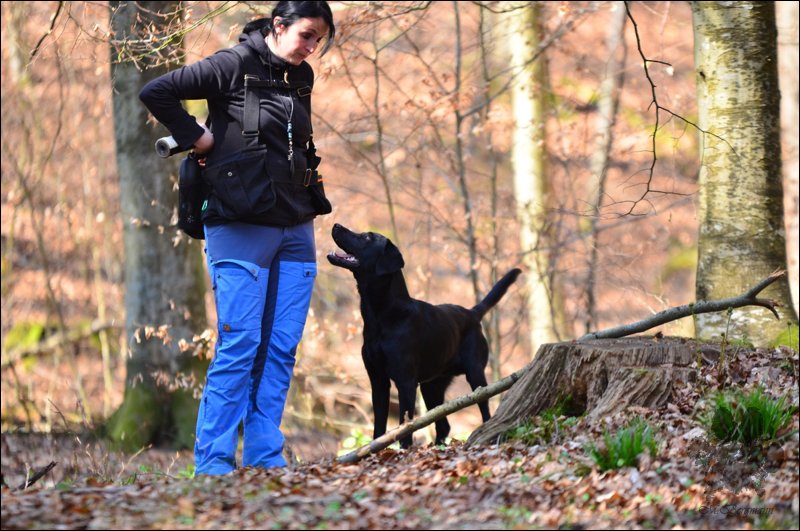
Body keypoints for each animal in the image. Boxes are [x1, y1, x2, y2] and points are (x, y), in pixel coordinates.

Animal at [327, 223, 521, 448]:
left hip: (475, 374)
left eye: (367, 237)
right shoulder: (378, 380)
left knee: (484, 411)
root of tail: (472, 312)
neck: (383, 316)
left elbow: (404, 428)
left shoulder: (406, 382)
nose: (336, 225)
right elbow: (379, 427)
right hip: (431, 386)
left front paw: (403, 451)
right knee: (443, 425)